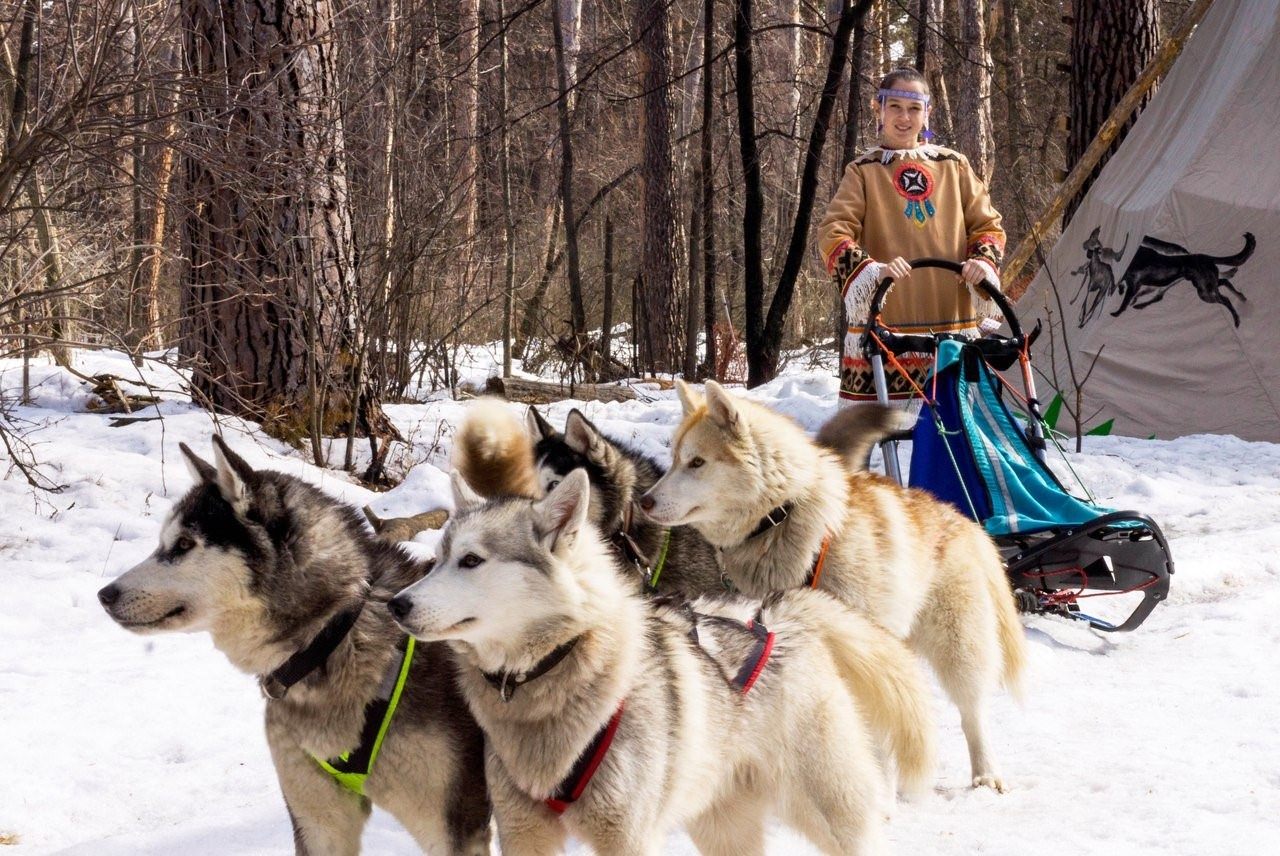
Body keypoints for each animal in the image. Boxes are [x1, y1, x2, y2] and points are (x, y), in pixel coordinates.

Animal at [96, 437, 488, 849]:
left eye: (185, 543)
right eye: (163, 542)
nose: (104, 595)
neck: (332, 637)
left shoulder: (454, 829)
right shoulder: (319, 822)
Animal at [384, 468, 936, 854]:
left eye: (471, 561)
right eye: (437, 559)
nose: (396, 604)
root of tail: (780, 611)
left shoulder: (627, 837)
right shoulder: (524, 835)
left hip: (831, 812)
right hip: (721, 827)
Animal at [640, 383, 1029, 793]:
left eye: (697, 462)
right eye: (675, 459)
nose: (644, 501)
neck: (782, 519)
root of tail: (963, 520)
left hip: (958, 647)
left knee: (972, 712)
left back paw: (985, 773)